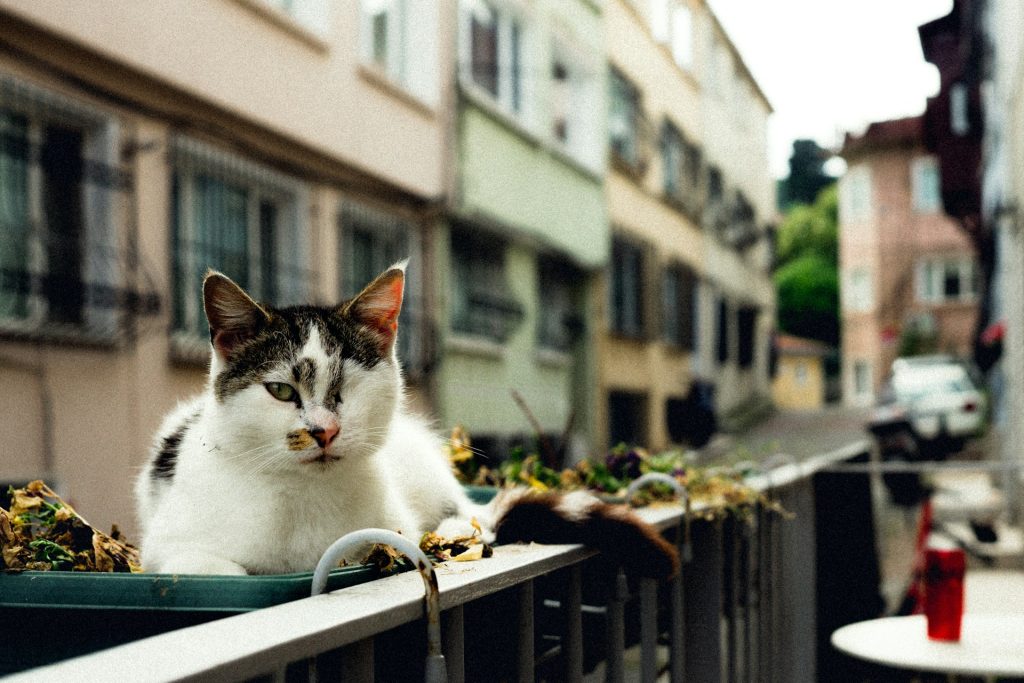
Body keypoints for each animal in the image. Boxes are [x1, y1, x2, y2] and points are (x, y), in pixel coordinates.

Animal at [136, 264, 679, 581]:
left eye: (347, 386)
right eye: (282, 391)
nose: (324, 430)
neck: (303, 497)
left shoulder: (390, 531)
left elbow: (401, 544)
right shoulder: (165, 549)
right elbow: (219, 572)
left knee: (474, 519)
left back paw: (460, 526)